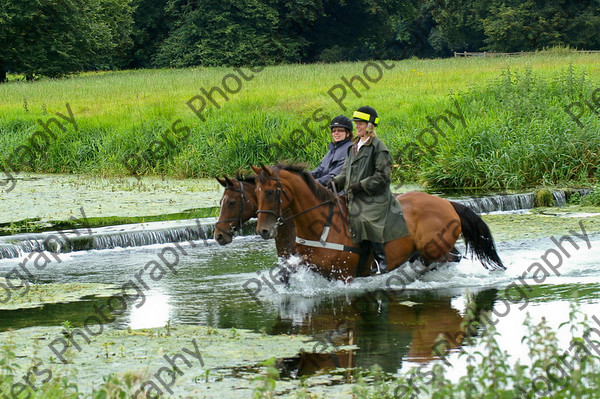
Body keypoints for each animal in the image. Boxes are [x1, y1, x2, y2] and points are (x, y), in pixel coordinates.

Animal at [251, 165, 504, 282]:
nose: (263, 230)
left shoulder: (344, 276)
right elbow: (286, 274)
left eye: (271, 192)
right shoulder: (308, 264)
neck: (321, 225)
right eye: (256, 192)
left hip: (434, 249)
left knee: (447, 260)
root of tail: (446, 202)